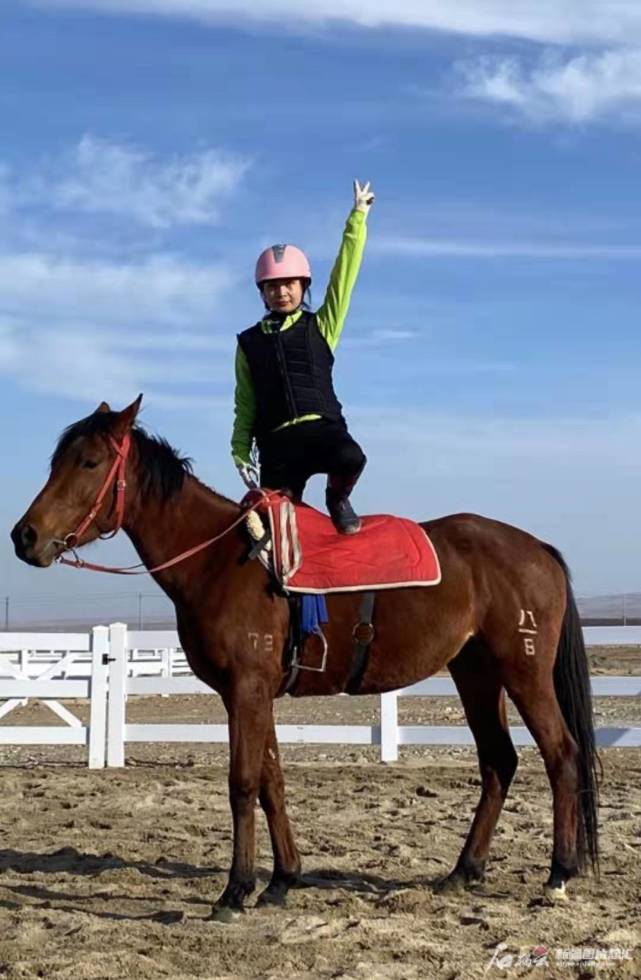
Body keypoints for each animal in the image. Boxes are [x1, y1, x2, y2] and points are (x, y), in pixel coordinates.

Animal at [11, 394, 600, 916]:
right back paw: (463, 871)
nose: (25, 536)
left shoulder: (246, 689)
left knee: (561, 754)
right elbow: (272, 782)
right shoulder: (252, 693)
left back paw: (558, 874)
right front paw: (282, 880)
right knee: (500, 761)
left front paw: (235, 891)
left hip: (524, 672)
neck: (222, 560)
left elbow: (243, 783)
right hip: (476, 673)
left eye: (89, 461)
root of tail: (538, 549)